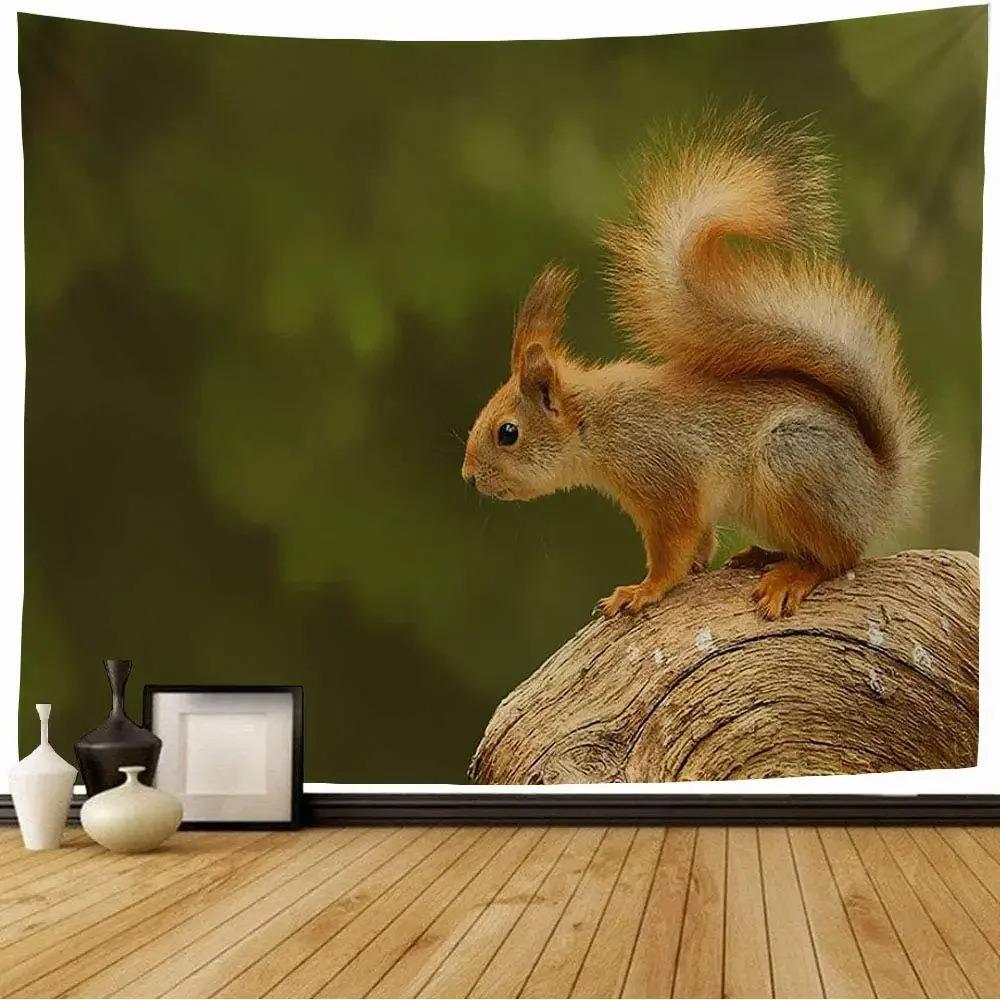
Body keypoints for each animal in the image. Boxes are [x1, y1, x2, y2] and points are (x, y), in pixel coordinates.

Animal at [461, 103, 930, 619]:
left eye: (507, 433)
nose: (469, 477)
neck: (600, 425)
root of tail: (879, 490)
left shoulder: (667, 480)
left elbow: (673, 548)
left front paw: (642, 590)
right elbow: (699, 543)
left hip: (794, 459)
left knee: (839, 557)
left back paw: (791, 575)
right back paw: (761, 555)